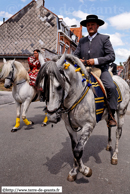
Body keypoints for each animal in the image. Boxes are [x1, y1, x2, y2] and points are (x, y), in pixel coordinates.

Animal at [35, 53, 130, 182]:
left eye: (59, 86)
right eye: (42, 87)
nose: (51, 116)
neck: (75, 95)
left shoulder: (88, 126)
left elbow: (78, 150)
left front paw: (85, 170)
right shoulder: (70, 127)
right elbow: (74, 148)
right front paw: (74, 171)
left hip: (121, 113)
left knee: (118, 133)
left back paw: (114, 156)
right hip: (108, 115)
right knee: (109, 127)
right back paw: (108, 145)